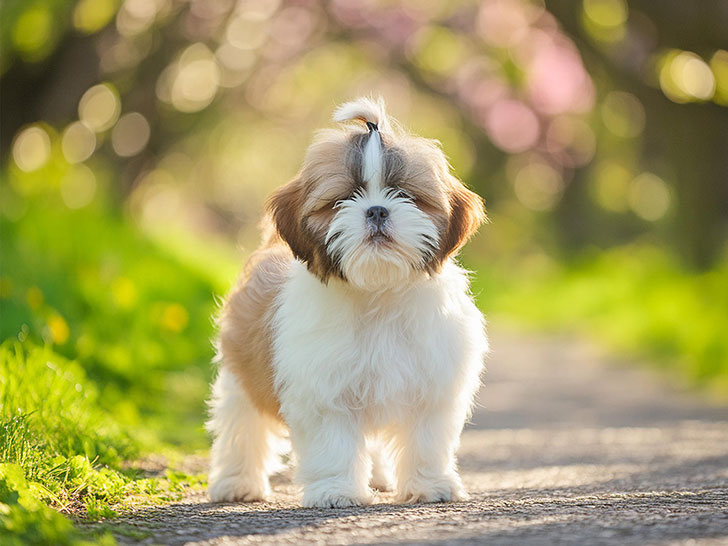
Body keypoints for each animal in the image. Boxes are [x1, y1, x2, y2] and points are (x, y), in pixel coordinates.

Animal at [208, 96, 486, 506]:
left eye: (405, 195)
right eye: (343, 199)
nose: (376, 210)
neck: (378, 291)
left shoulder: (433, 383)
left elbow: (425, 439)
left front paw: (428, 484)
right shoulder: (324, 386)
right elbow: (332, 442)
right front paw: (337, 490)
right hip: (241, 369)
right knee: (242, 421)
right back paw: (236, 481)